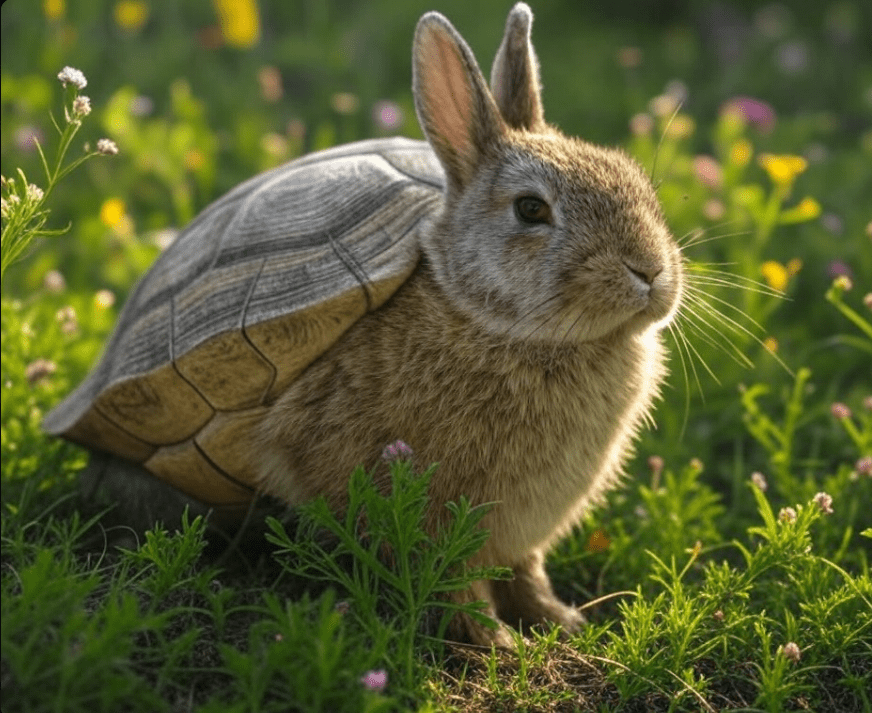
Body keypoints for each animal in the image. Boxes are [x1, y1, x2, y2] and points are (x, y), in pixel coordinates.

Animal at [257, 2, 683, 648]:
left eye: (634, 177)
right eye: (530, 209)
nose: (650, 271)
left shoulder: (521, 533)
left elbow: (525, 571)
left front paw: (562, 621)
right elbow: (450, 575)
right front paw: (493, 642)